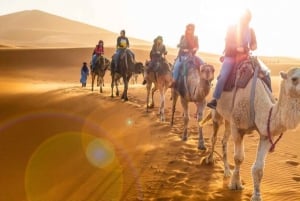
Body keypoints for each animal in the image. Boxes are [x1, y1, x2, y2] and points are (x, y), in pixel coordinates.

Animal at [203, 61, 298, 201]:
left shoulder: (266, 134)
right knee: (214, 137)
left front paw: (256, 195)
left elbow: (259, 168)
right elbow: (238, 158)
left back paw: (227, 171)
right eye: (294, 79)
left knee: (224, 140)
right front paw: (235, 184)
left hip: (228, 119)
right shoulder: (237, 127)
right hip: (217, 113)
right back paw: (209, 160)